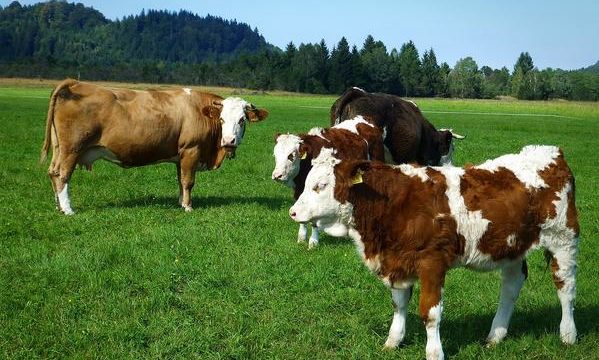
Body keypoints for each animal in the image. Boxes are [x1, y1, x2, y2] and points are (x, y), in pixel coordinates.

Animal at [290, 146, 580, 360]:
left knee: (565, 288)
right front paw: (393, 341)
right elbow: (399, 304)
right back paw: (495, 335)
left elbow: (429, 312)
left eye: (320, 186)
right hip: (512, 246)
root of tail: (550, 152)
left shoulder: (432, 262)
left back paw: (568, 335)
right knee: (511, 286)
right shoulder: (397, 261)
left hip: (563, 238)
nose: (292, 212)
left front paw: (434, 352)